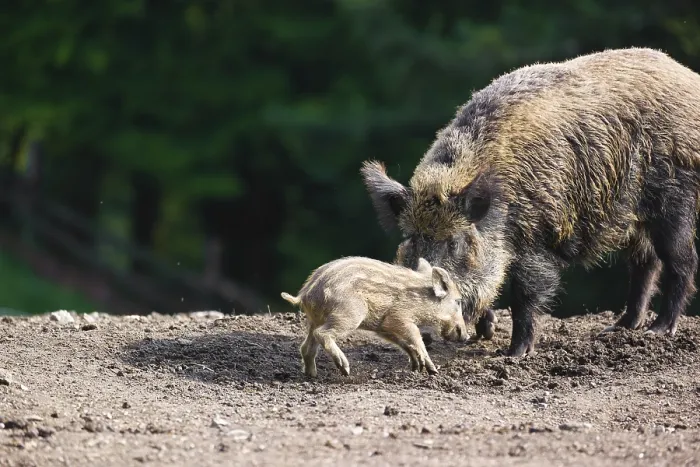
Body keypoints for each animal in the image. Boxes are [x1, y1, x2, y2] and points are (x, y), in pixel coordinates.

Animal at [280, 256, 468, 377]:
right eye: (458, 302)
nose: (466, 336)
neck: (421, 298)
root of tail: (305, 294)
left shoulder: (383, 326)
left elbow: (402, 342)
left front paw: (416, 366)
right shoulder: (400, 317)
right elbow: (416, 337)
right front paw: (433, 370)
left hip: (315, 320)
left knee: (306, 346)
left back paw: (312, 375)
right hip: (350, 314)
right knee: (322, 334)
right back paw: (345, 370)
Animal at [360, 47, 700, 357]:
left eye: (454, 242)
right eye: (412, 239)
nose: (425, 331)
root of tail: (689, 79)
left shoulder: (537, 238)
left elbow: (525, 293)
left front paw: (514, 354)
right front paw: (486, 332)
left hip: (675, 199)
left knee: (680, 260)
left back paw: (659, 330)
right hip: (634, 217)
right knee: (645, 263)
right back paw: (618, 329)